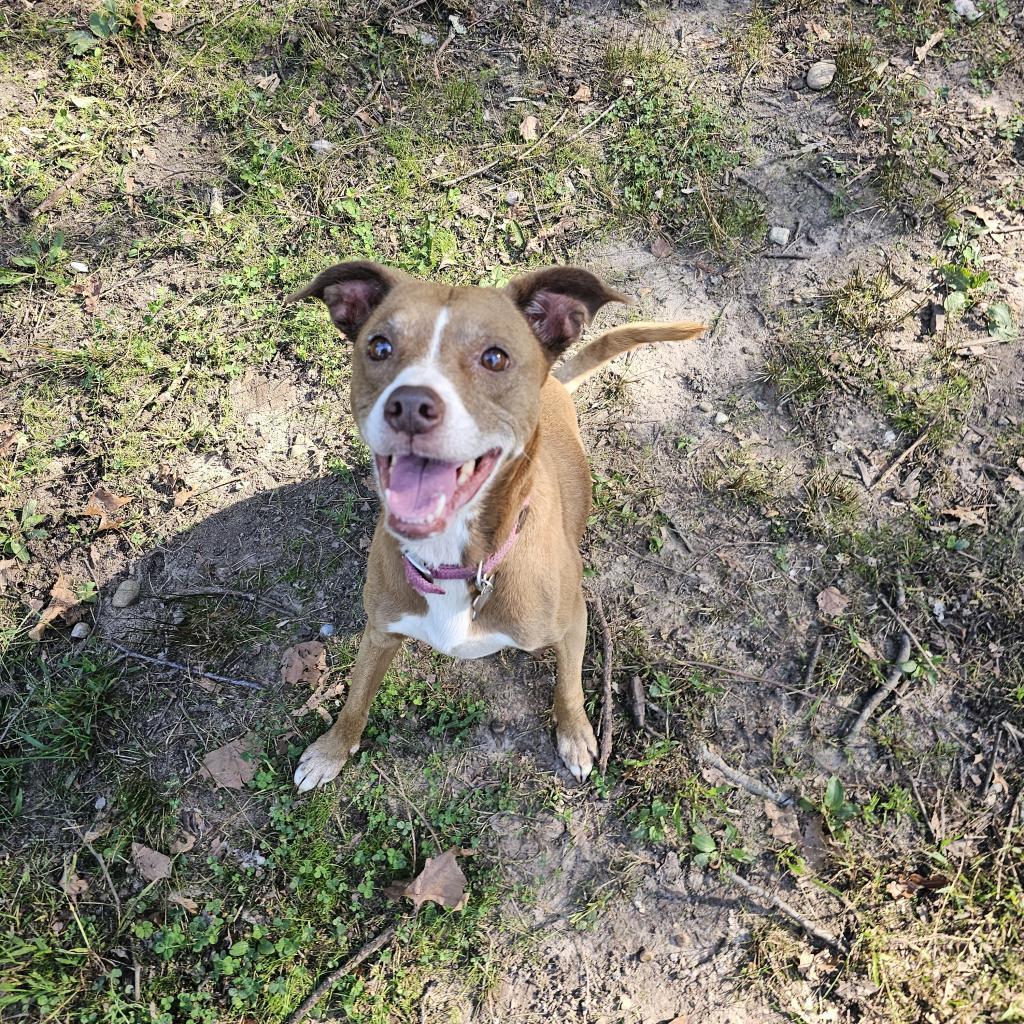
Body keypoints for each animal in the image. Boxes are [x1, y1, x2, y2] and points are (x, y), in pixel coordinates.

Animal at [288, 260, 704, 786]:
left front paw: (575, 735)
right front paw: (331, 750)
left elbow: (568, 686)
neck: (457, 561)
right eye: (379, 346)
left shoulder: (572, 621)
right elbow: (356, 696)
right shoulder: (380, 631)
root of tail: (555, 383)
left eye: (494, 357)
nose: (409, 405)